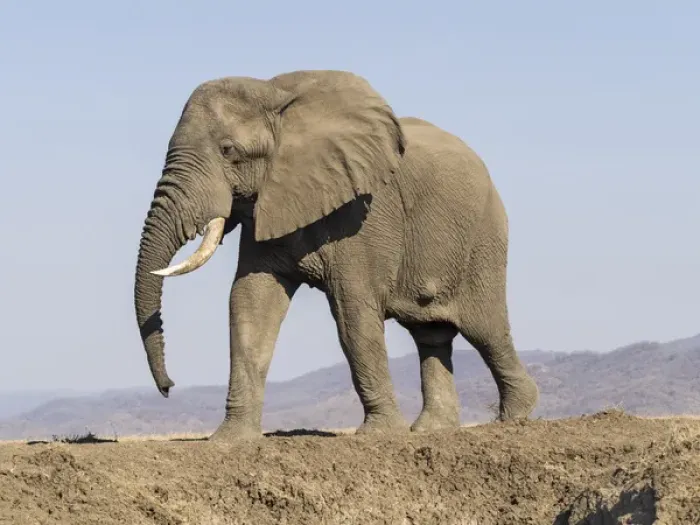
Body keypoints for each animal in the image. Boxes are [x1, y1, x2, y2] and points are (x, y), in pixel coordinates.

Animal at [134, 69, 539, 441]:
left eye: (228, 150)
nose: (169, 387)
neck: (274, 91)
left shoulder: (364, 213)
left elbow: (353, 310)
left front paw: (379, 435)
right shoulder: (271, 203)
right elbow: (249, 302)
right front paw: (231, 440)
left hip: (483, 239)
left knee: (485, 328)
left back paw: (514, 418)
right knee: (431, 335)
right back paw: (431, 430)